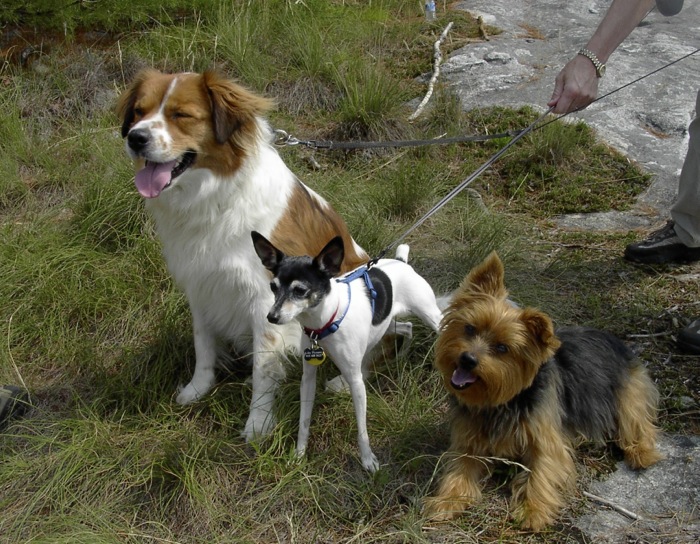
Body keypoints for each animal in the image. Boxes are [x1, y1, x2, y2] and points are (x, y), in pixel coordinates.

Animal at [116, 70, 366, 440]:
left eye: (181, 115)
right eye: (138, 112)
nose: (135, 138)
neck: (215, 198)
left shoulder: (265, 298)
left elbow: (264, 365)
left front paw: (258, 423)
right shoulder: (201, 285)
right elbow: (203, 343)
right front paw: (198, 388)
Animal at [250, 232, 442, 470]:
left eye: (300, 291)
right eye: (273, 287)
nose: (272, 317)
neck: (325, 322)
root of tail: (401, 262)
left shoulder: (355, 380)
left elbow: (362, 429)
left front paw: (368, 459)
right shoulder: (308, 378)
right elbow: (304, 421)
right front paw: (299, 454)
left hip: (430, 316)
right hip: (387, 323)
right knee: (408, 327)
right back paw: (402, 355)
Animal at [424, 253, 660, 528]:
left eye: (502, 348)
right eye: (469, 328)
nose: (467, 359)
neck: (502, 402)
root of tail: (611, 337)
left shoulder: (546, 438)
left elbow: (542, 471)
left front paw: (533, 511)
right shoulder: (468, 440)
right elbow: (458, 469)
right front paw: (446, 500)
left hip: (628, 391)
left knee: (637, 421)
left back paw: (642, 452)